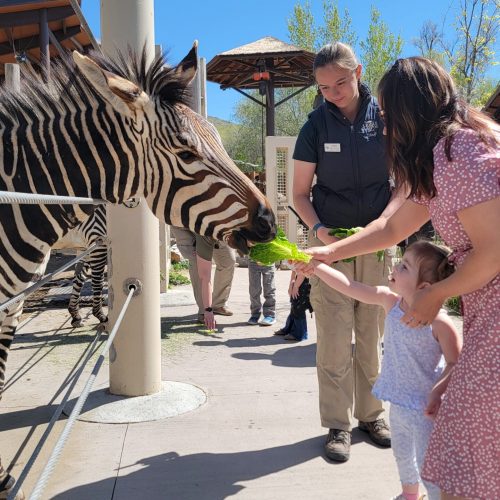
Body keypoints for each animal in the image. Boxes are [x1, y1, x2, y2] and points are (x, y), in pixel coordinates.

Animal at [0, 44, 276, 496]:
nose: (269, 223)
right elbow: (94, 278)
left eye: (219, 142)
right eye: (186, 154)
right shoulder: (94, 239)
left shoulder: (13, 303)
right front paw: (97, 316)